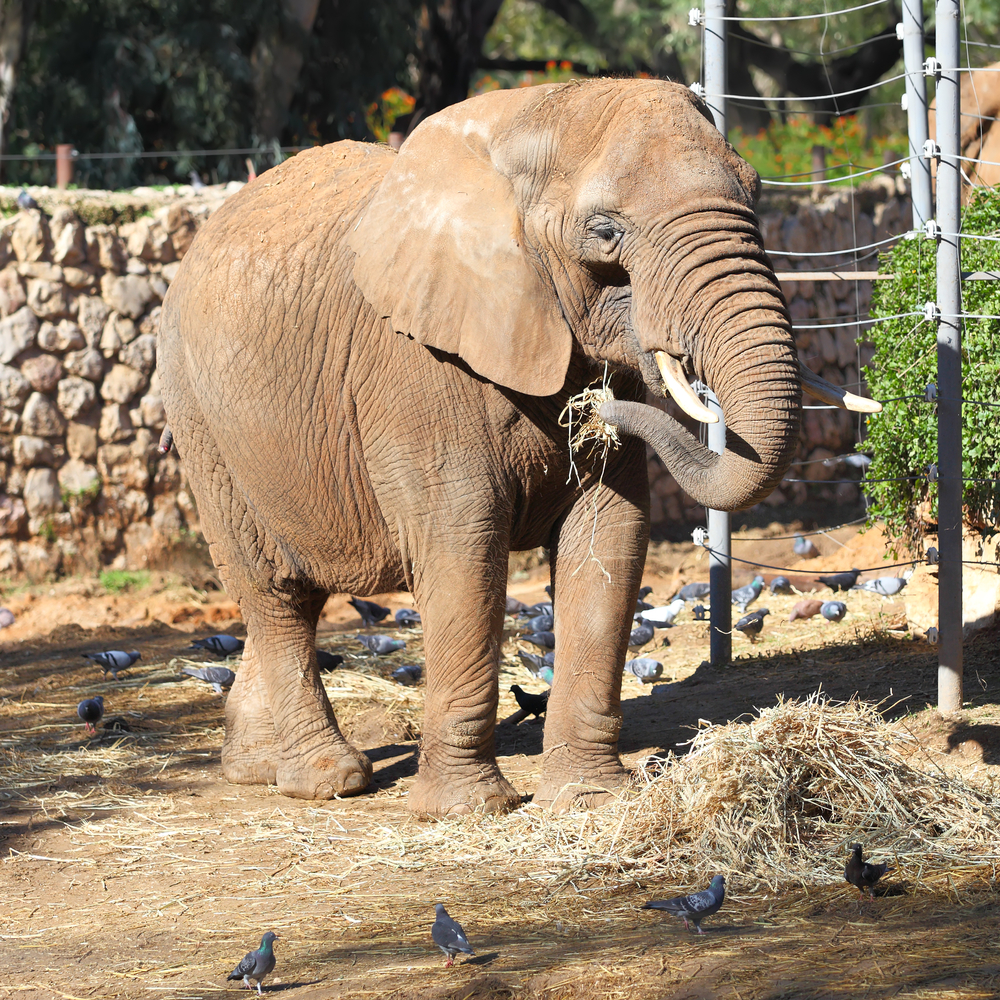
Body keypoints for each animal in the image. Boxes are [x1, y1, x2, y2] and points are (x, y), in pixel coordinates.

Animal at [160, 76, 872, 812]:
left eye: (755, 193)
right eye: (605, 232)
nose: (602, 407)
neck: (528, 117)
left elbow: (610, 534)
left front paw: (589, 797)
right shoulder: (416, 365)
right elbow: (463, 544)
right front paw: (470, 809)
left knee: (292, 591)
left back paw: (253, 769)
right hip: (199, 418)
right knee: (272, 590)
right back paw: (328, 780)